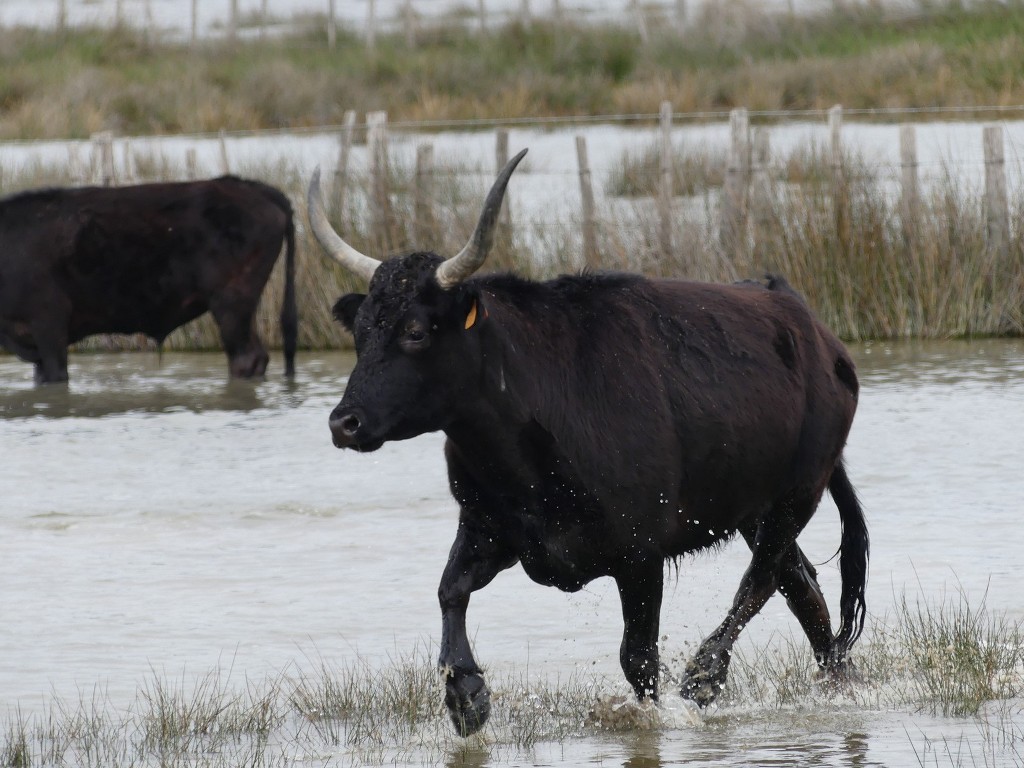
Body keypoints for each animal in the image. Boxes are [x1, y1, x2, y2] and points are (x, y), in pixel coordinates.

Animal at [307, 151, 868, 741]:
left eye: (415, 331)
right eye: (360, 332)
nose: (344, 422)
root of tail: (813, 329)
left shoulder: (640, 553)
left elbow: (638, 658)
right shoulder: (488, 527)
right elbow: (448, 590)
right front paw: (466, 695)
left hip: (796, 494)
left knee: (759, 582)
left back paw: (704, 677)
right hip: (751, 507)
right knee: (799, 585)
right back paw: (838, 681)